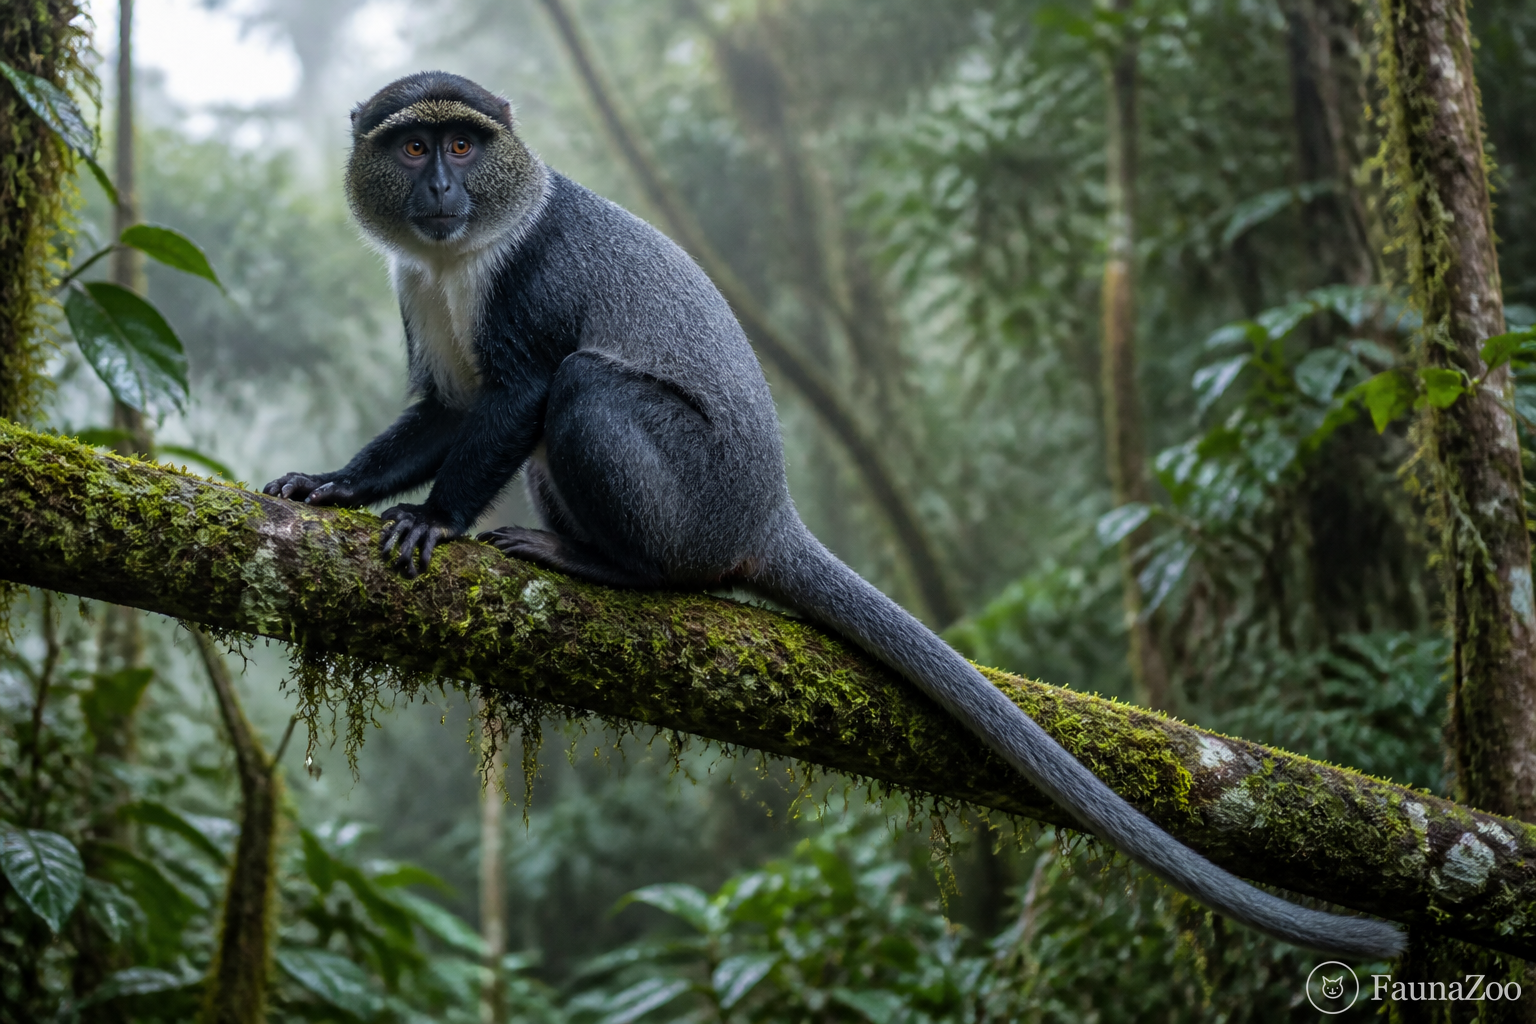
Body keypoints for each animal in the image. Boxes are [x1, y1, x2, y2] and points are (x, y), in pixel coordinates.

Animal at [264, 72, 1402, 960]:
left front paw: (436, 519)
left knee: (584, 397)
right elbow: (447, 412)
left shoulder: (530, 283)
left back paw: (609, 567)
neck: (464, 252)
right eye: (413, 146)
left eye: (464, 143)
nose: (443, 189)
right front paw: (337, 487)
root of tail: (768, 513)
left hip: (691, 489)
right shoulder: (418, 288)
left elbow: (518, 396)